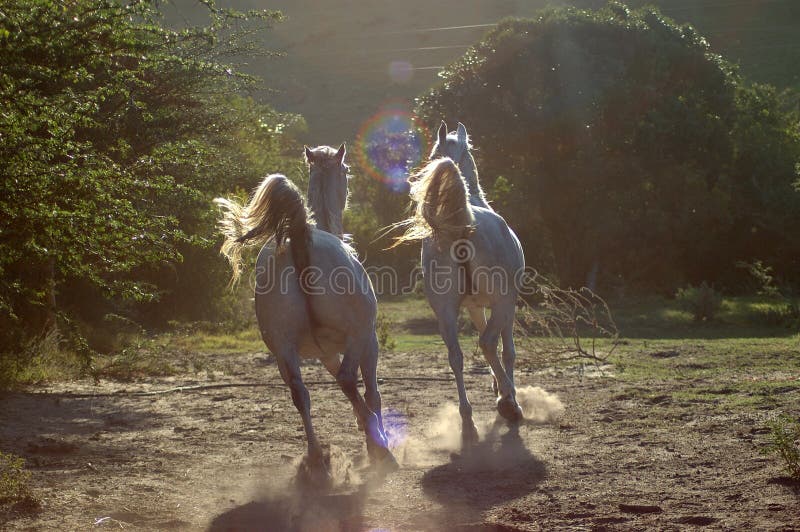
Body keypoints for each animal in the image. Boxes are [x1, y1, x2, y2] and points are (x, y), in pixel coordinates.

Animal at [216, 144, 396, 478]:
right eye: (346, 170)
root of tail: (299, 237)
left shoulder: (326, 353)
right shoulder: (369, 341)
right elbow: (370, 392)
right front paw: (374, 440)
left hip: (283, 350)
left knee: (301, 394)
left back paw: (316, 459)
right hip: (357, 337)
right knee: (347, 380)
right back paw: (380, 448)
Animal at [400, 122, 524, 446]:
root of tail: (460, 228)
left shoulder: (474, 307)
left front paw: (496, 386)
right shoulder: (506, 304)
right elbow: (506, 350)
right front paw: (504, 392)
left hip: (444, 311)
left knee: (456, 356)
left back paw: (468, 417)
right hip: (502, 301)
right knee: (488, 342)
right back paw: (510, 403)